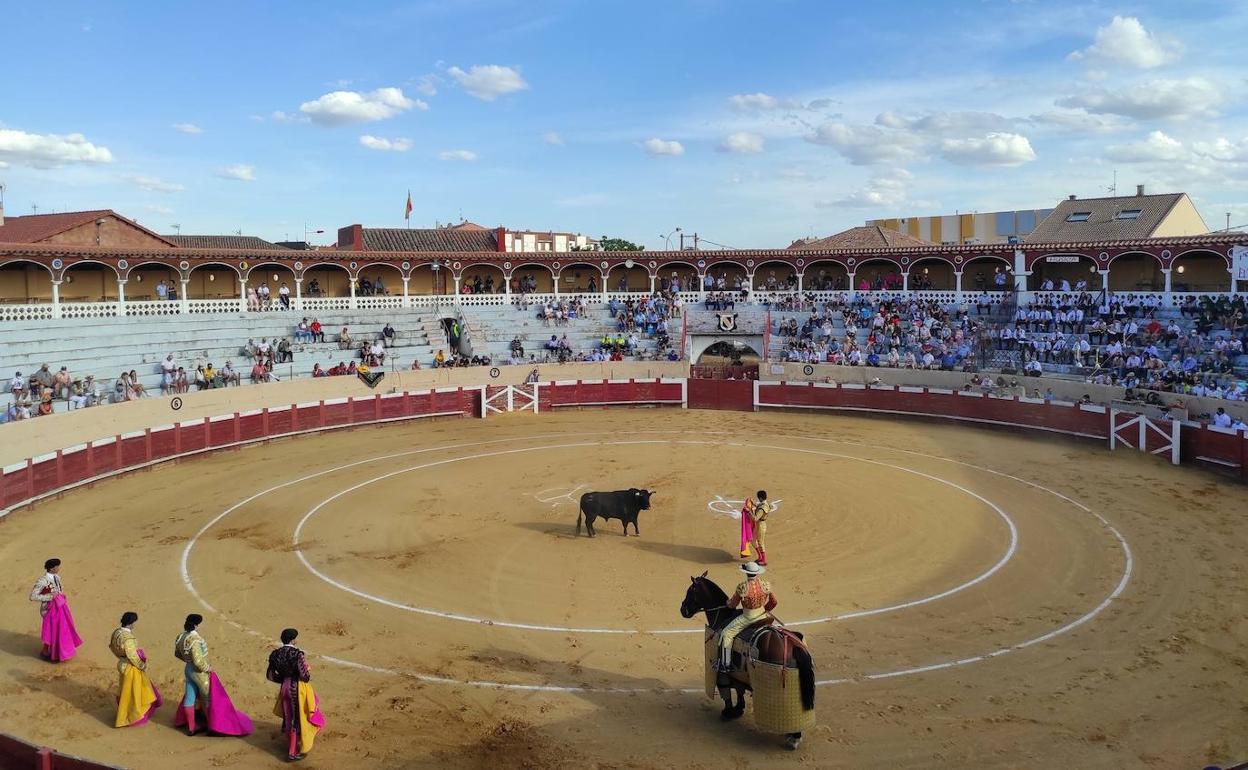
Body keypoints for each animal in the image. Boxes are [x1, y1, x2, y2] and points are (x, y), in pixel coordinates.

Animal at [678, 566, 813, 748]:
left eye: (690, 592)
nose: (683, 610)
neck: (723, 615)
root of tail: (791, 642)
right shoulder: (739, 673)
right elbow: (739, 690)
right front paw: (738, 709)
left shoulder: (723, 670)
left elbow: (726, 689)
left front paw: (728, 712)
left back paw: (794, 737)